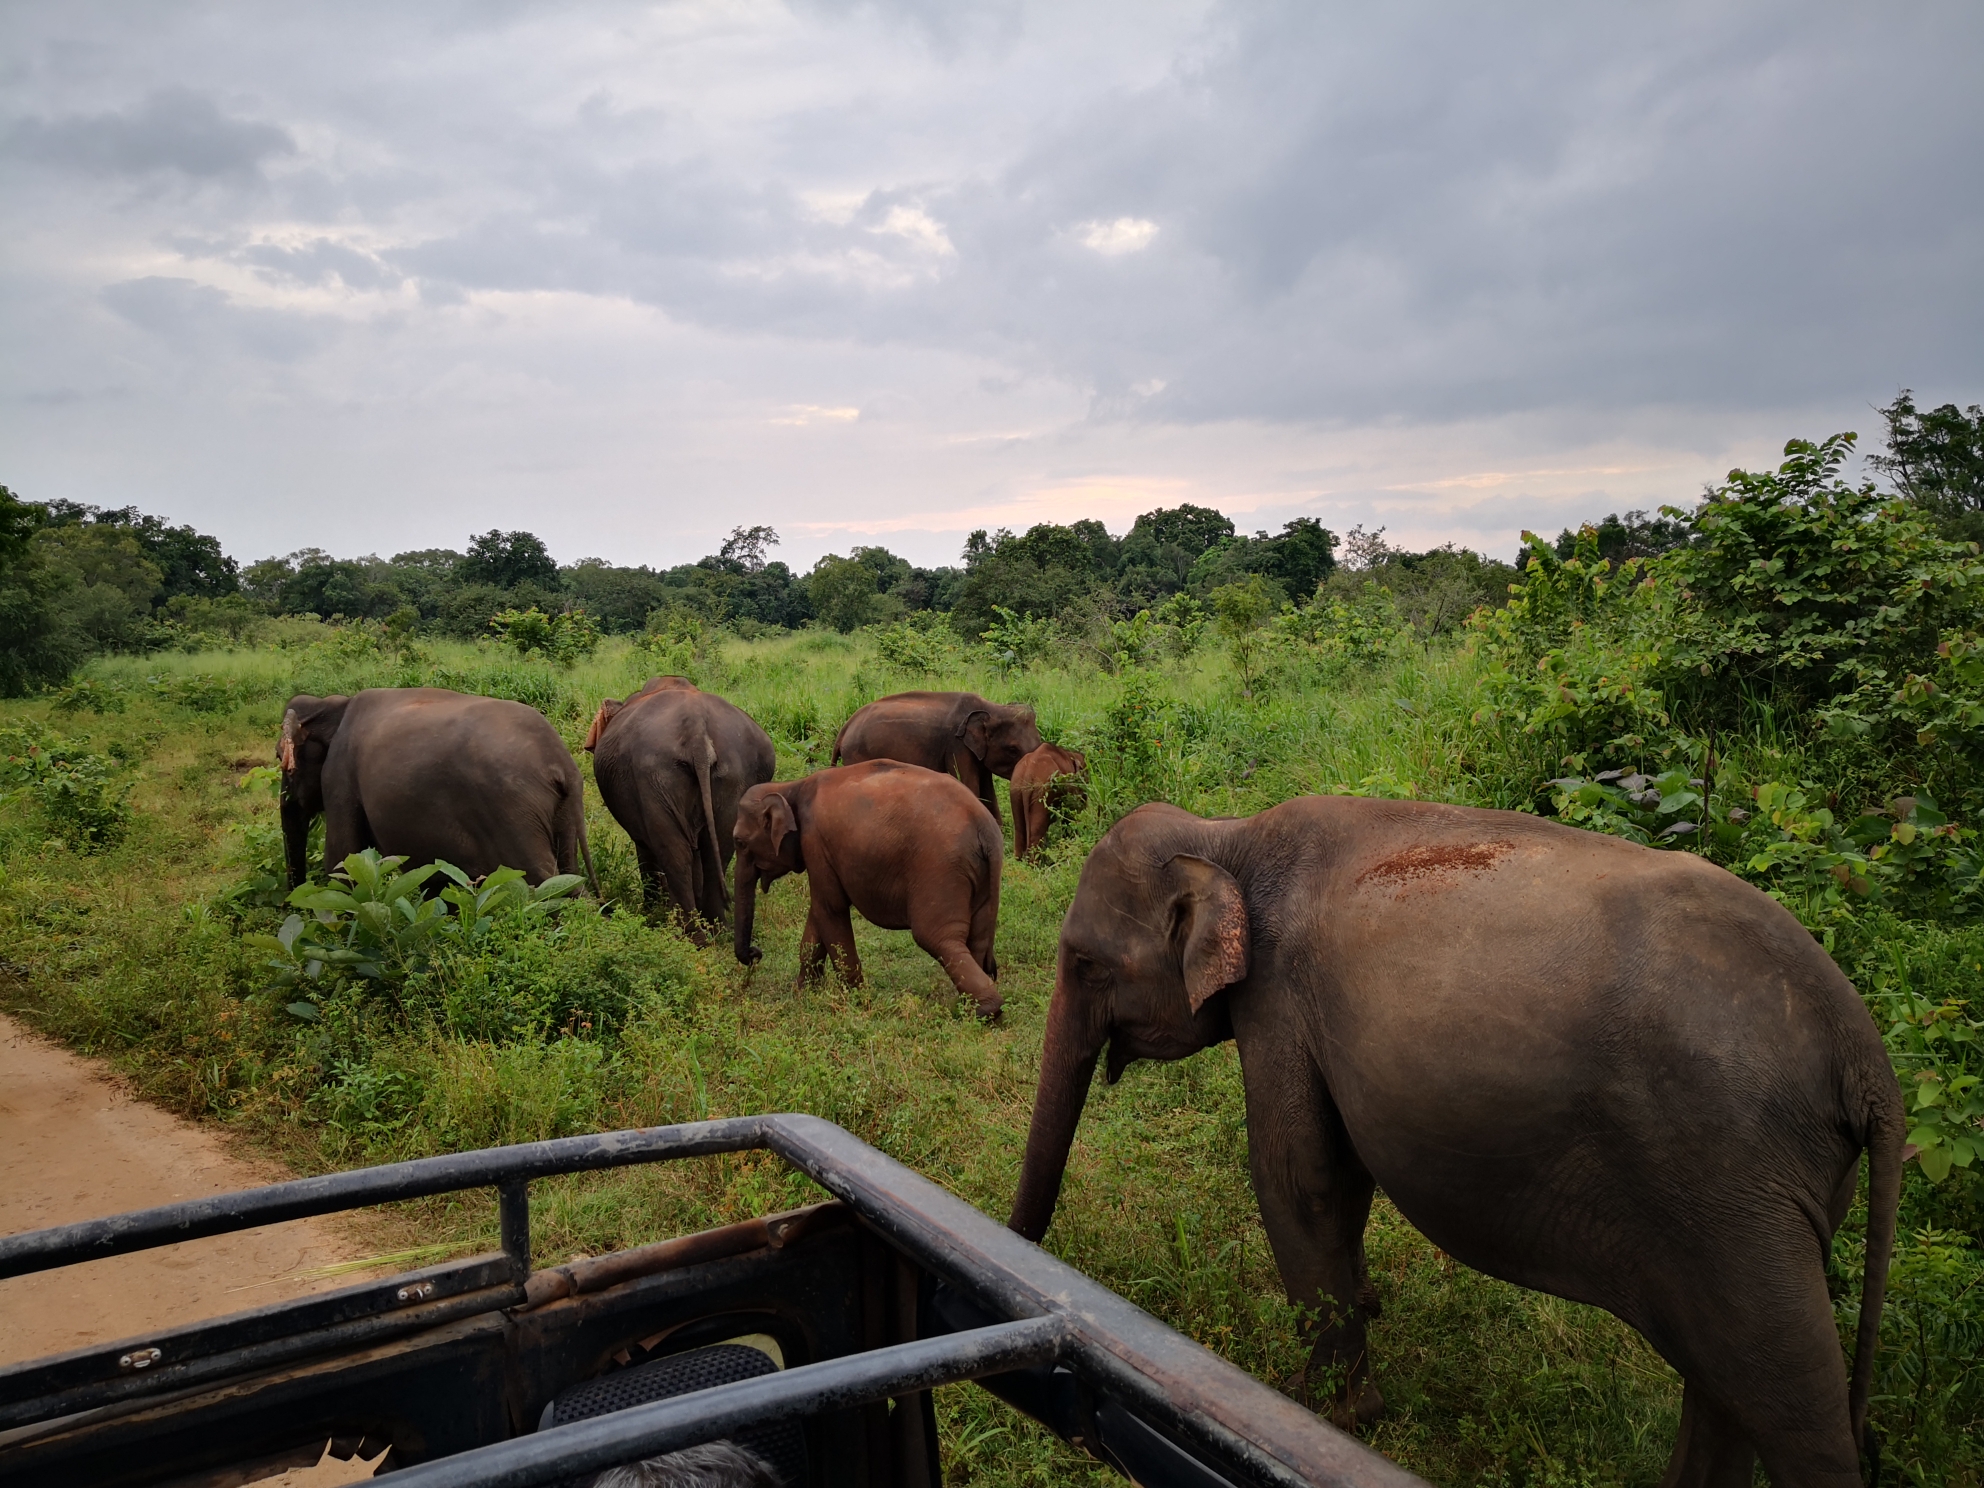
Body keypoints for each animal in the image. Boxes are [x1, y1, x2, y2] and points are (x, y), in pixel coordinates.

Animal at [283, 690, 595, 896]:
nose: (290, 901)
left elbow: (343, 861)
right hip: (562, 812)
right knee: (569, 877)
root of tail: (560, 762)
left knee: (541, 881)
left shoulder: (340, 776)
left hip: (513, 813)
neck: (333, 705)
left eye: (280, 759)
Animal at [579, 678, 773, 944]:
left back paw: (687, 934)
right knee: (718, 848)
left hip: (654, 778)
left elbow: (645, 847)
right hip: (731, 776)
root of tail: (697, 735)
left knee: (674, 852)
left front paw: (651, 910)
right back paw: (715, 929)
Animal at [734, 761, 1007, 1023]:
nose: (755, 953)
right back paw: (969, 1004)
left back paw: (983, 1011)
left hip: (941, 868)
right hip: (979, 873)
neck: (790, 786)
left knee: (936, 937)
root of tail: (983, 826)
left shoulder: (815, 842)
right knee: (976, 937)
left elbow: (830, 908)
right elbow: (819, 915)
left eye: (739, 842)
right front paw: (803, 992)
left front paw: (856, 1000)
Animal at [833, 690, 1047, 841]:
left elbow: (987, 788)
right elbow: (969, 784)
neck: (991, 707)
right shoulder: (956, 745)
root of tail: (845, 728)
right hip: (857, 755)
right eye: (1012, 749)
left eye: (1040, 740)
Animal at [1007, 805, 1904, 1488]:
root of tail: (1865, 1054)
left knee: (1789, 1400)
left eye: (1083, 963)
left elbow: (1300, 1174)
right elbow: (1341, 1172)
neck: (1225, 835)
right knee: (1727, 1382)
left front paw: (1325, 1410)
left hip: (1732, 1188)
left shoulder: (1278, 998)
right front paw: (1368, 1309)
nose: (1025, 1252)